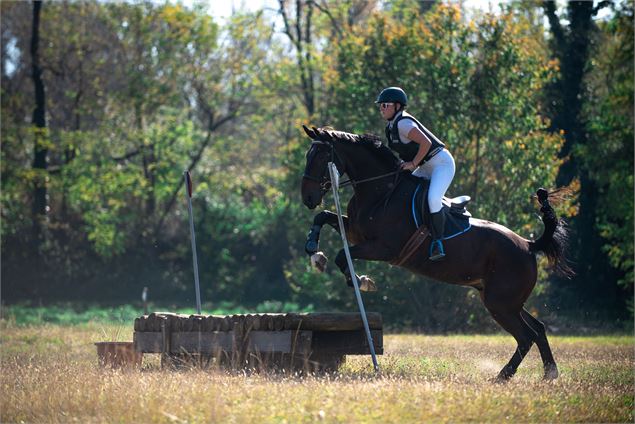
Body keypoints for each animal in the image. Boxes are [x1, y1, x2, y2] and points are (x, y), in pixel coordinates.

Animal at [300, 124, 572, 380]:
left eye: (320, 158)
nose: (308, 198)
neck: (381, 190)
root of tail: (528, 245)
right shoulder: (355, 233)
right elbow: (323, 217)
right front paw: (314, 252)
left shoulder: (383, 248)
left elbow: (341, 255)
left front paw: (359, 280)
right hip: (505, 300)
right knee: (538, 329)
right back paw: (549, 372)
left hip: (501, 303)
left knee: (526, 336)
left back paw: (503, 376)